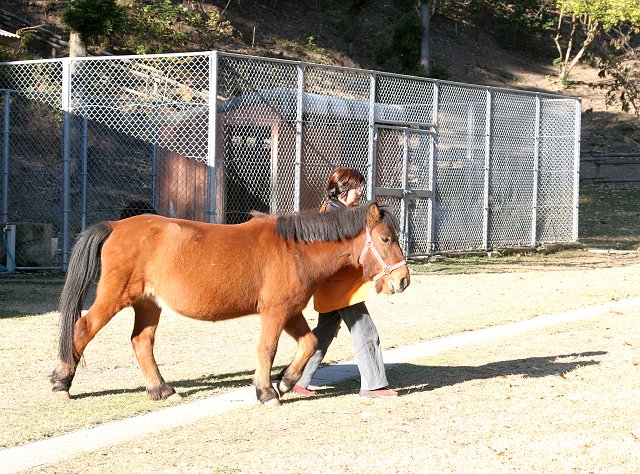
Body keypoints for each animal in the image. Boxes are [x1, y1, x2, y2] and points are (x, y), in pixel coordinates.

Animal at [50, 202, 410, 406]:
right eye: (385, 239)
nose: (403, 279)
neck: (296, 249)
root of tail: (115, 226)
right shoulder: (275, 312)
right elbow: (267, 349)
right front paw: (266, 391)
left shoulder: (290, 311)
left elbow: (309, 343)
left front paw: (286, 380)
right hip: (115, 296)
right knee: (82, 328)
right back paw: (61, 382)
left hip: (148, 304)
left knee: (141, 342)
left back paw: (160, 389)